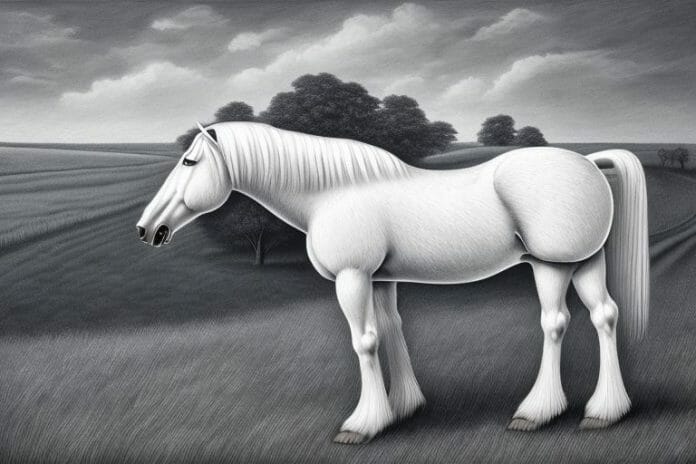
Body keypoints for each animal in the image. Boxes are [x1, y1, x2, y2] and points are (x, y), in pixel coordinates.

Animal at [136, 122, 649, 444]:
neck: (333, 193)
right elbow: (391, 331)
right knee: (604, 316)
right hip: (584, 262)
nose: (147, 229)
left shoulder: (353, 278)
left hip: (551, 264)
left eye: (189, 162)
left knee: (555, 322)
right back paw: (605, 412)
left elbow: (363, 341)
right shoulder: (381, 280)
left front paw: (363, 424)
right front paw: (402, 407)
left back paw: (536, 412)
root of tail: (588, 163)